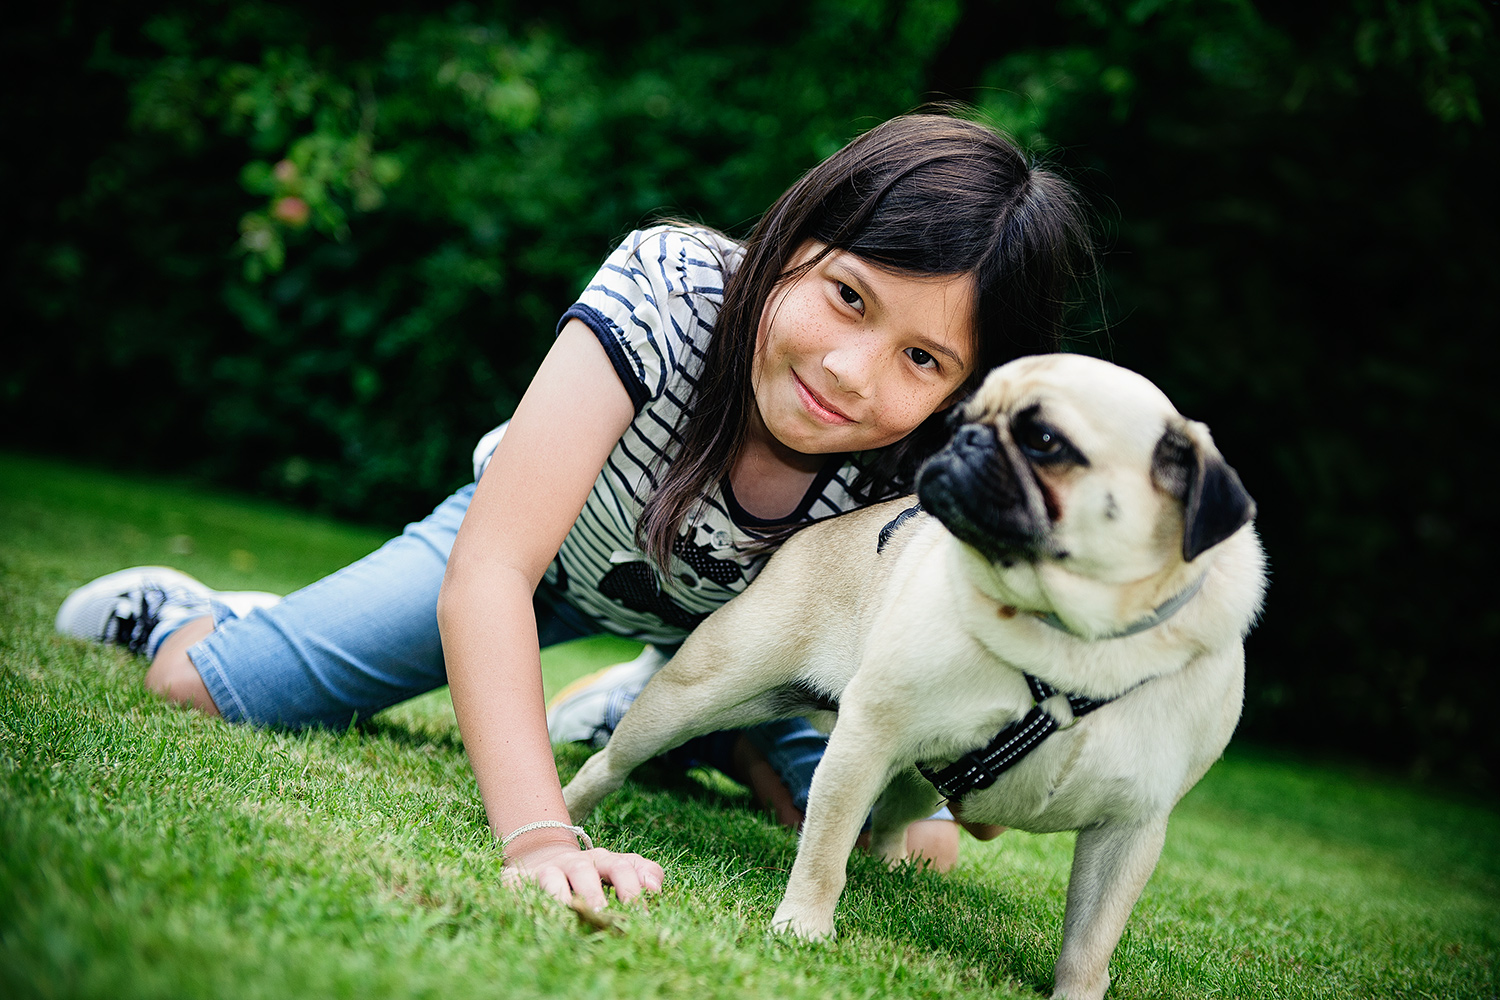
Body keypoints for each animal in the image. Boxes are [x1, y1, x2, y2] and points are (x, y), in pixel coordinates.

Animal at [564, 355, 1266, 995]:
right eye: (959, 419)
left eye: (1045, 440)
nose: (966, 438)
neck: (1070, 641)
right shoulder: (865, 739)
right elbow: (824, 854)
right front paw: (804, 928)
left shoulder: (1131, 828)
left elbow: (1092, 941)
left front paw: (1077, 993)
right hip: (703, 690)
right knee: (615, 759)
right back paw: (572, 812)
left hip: (918, 773)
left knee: (893, 821)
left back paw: (895, 873)